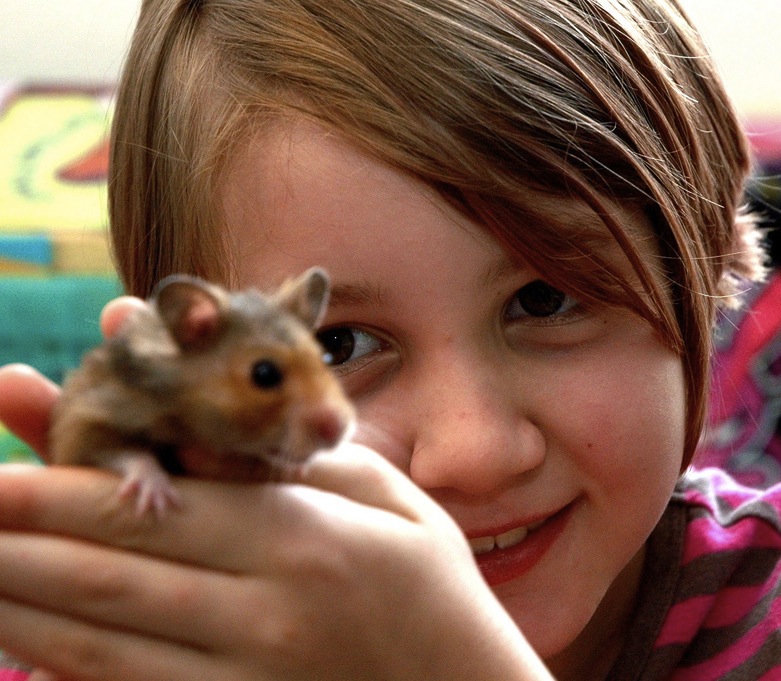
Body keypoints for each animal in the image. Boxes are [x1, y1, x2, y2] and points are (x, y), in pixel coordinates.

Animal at [49, 267, 355, 518]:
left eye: (325, 357)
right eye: (264, 373)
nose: (339, 429)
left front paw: (299, 467)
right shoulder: (85, 423)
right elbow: (126, 453)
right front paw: (157, 498)